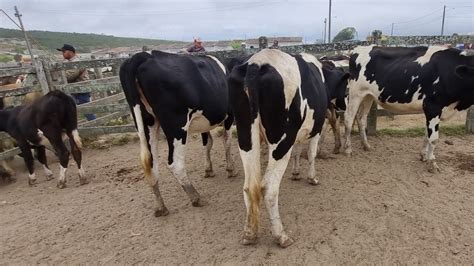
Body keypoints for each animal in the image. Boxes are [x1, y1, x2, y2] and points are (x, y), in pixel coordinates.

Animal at [119, 51, 236, 217]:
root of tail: (144, 55)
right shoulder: (230, 115)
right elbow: (226, 141)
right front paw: (230, 169)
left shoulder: (204, 123)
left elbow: (207, 144)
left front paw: (209, 170)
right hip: (176, 125)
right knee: (175, 163)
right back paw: (196, 197)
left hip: (147, 121)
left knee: (150, 164)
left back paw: (160, 207)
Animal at [229, 49, 342, 247]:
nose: (340, 108)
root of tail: (256, 63)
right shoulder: (316, 128)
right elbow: (311, 153)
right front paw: (312, 178)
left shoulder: (297, 134)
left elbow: (297, 151)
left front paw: (295, 173)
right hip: (282, 140)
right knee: (268, 187)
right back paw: (281, 235)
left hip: (246, 137)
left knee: (249, 186)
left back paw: (249, 234)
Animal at [344, 45, 474, 171]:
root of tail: (358, 49)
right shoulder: (433, 107)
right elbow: (433, 138)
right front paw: (432, 163)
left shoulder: (431, 110)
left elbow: (426, 134)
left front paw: (424, 156)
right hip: (355, 93)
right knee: (349, 119)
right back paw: (348, 149)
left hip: (368, 96)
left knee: (361, 118)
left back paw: (366, 145)